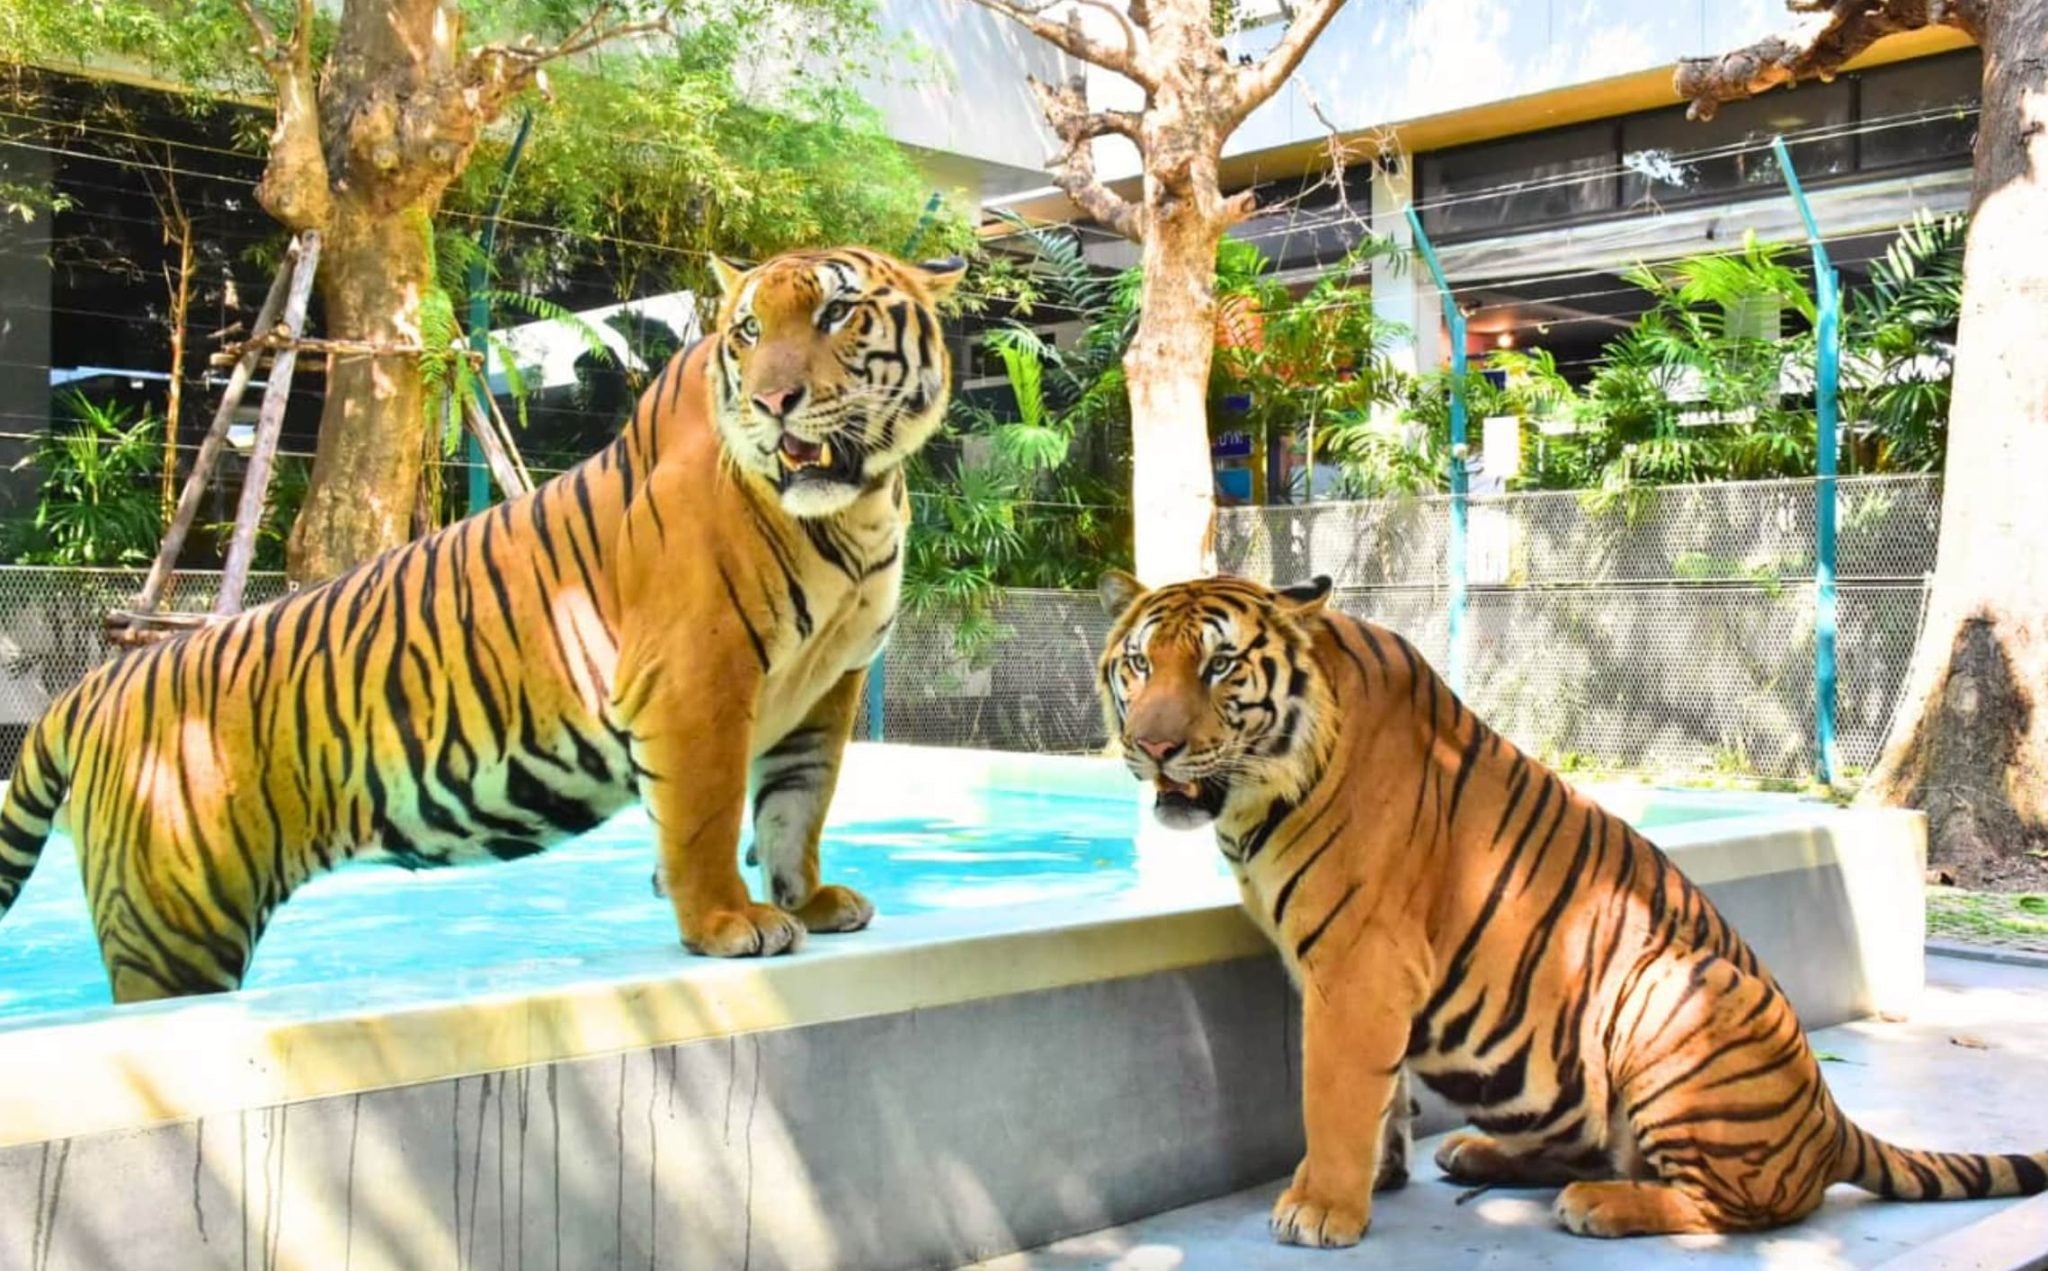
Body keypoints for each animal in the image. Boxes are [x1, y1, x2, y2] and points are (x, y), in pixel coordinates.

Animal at [0, 245, 965, 1004]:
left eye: (837, 312)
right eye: (749, 332)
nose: (772, 403)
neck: (859, 507)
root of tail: (96, 686)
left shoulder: (827, 687)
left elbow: (797, 805)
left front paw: (807, 901)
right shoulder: (697, 679)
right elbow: (707, 814)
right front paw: (729, 921)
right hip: (175, 927)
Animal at [1096, 570, 2048, 1245]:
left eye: (1220, 666)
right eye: (1140, 663)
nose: (1152, 746)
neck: (1261, 792)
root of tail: (1830, 1121)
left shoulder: (1359, 963)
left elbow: (1333, 1090)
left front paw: (1322, 1206)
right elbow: (1379, 1092)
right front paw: (1383, 1173)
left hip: (1674, 988)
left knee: (1750, 1205)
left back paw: (1601, 1203)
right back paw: (1479, 1152)